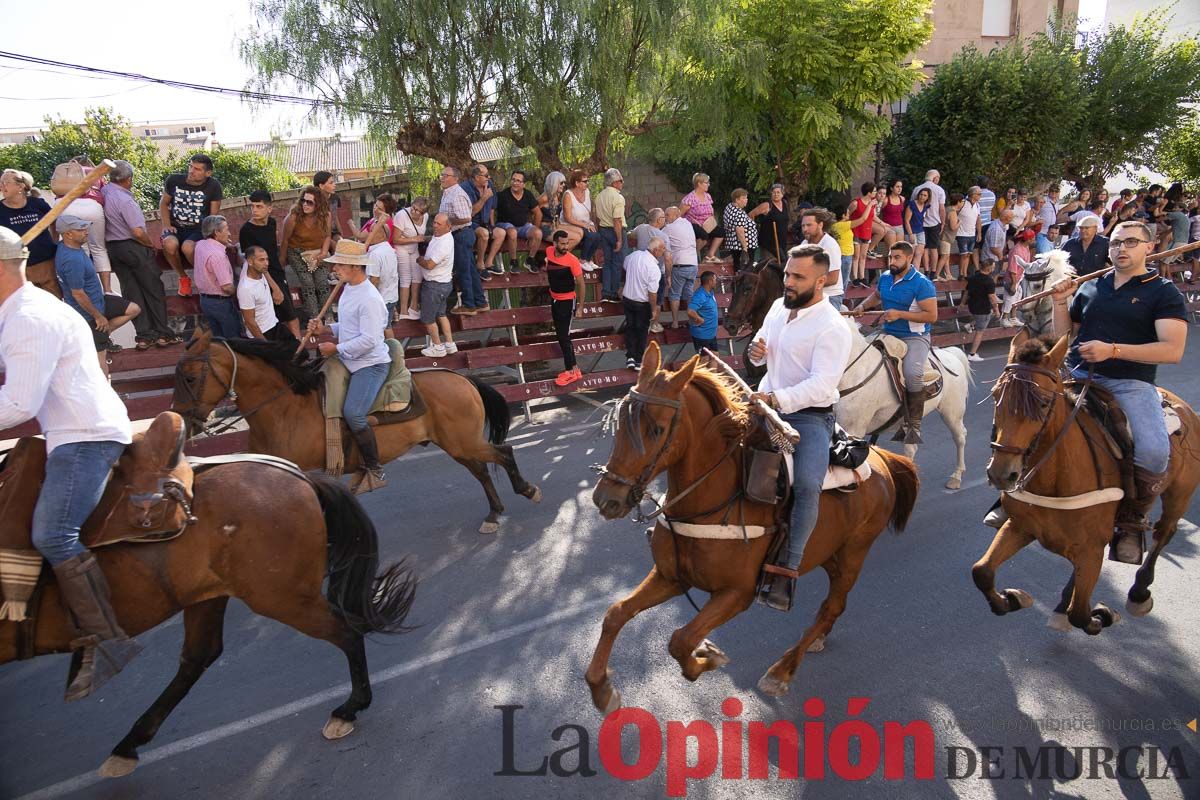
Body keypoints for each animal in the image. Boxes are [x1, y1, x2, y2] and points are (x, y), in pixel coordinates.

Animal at [0, 460, 415, 777]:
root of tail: (301, 478)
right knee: (198, 657)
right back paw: (129, 744)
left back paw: (348, 709)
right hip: (209, 596)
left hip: (280, 597)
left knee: (345, 632)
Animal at [168, 328, 540, 534]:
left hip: (465, 442)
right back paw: (493, 513)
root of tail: (463, 379)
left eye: (189, 376)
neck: (285, 407)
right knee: (481, 470)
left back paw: (527, 490)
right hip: (457, 444)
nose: (181, 420)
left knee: (503, 453)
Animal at [585, 340, 912, 705]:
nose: (607, 499)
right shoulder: (670, 577)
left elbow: (681, 639)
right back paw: (814, 640)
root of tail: (882, 458)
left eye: (656, 429)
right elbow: (615, 614)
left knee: (834, 604)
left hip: (855, 551)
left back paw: (782, 671)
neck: (715, 499)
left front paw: (708, 656)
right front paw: (601, 687)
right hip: (831, 553)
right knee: (832, 606)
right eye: (619, 425)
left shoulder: (736, 594)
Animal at [835, 316, 974, 491]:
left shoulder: (854, 428)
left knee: (959, 437)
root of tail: (951, 354)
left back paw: (956, 477)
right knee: (911, 448)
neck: (857, 372)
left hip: (952, 413)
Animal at [974, 331, 1200, 633]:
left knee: (1165, 532)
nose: (1001, 473)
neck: (1055, 480)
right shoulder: (1019, 527)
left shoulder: (1090, 548)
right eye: (996, 395)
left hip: (1179, 493)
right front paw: (1013, 598)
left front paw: (1103, 615)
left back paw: (1139, 593)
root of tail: (1182, 407)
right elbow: (982, 572)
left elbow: (1080, 614)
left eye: (1043, 402)